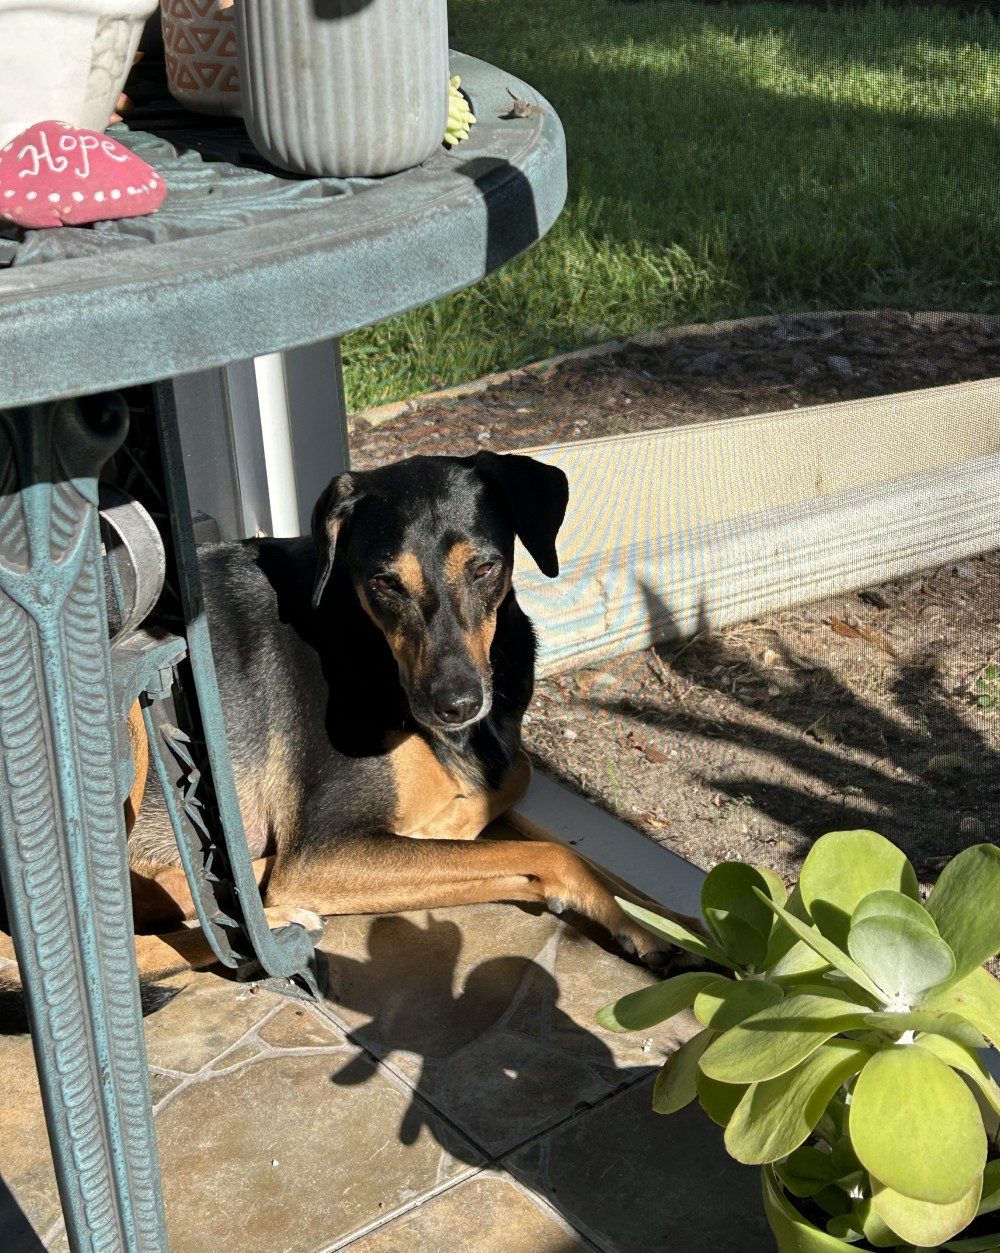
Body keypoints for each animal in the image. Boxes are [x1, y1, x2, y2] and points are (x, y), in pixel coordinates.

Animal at [6, 451, 685, 987]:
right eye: (384, 582)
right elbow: (553, 852)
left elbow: (508, 792)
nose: (456, 704)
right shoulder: (324, 850)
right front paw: (645, 928)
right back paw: (263, 916)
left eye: (486, 567)